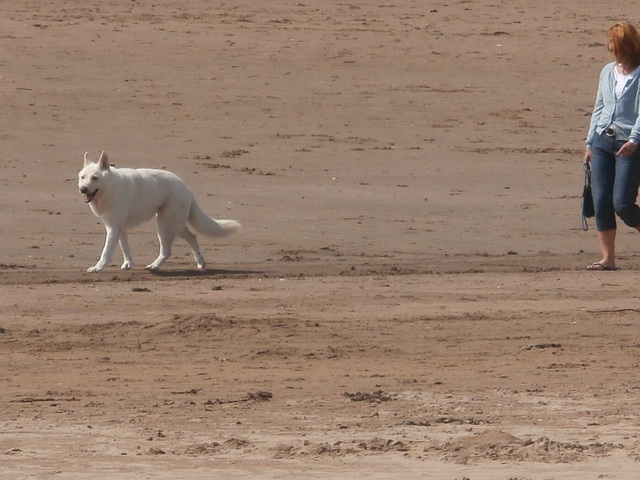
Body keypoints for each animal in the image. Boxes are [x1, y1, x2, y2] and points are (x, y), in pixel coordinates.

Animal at [77, 153, 241, 274]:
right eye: (82, 177)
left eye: (95, 178)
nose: (83, 189)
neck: (109, 187)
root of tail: (186, 188)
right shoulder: (120, 229)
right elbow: (125, 248)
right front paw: (128, 263)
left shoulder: (113, 228)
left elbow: (106, 252)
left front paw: (98, 267)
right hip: (174, 225)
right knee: (192, 237)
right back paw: (200, 262)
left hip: (164, 226)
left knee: (167, 251)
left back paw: (154, 266)